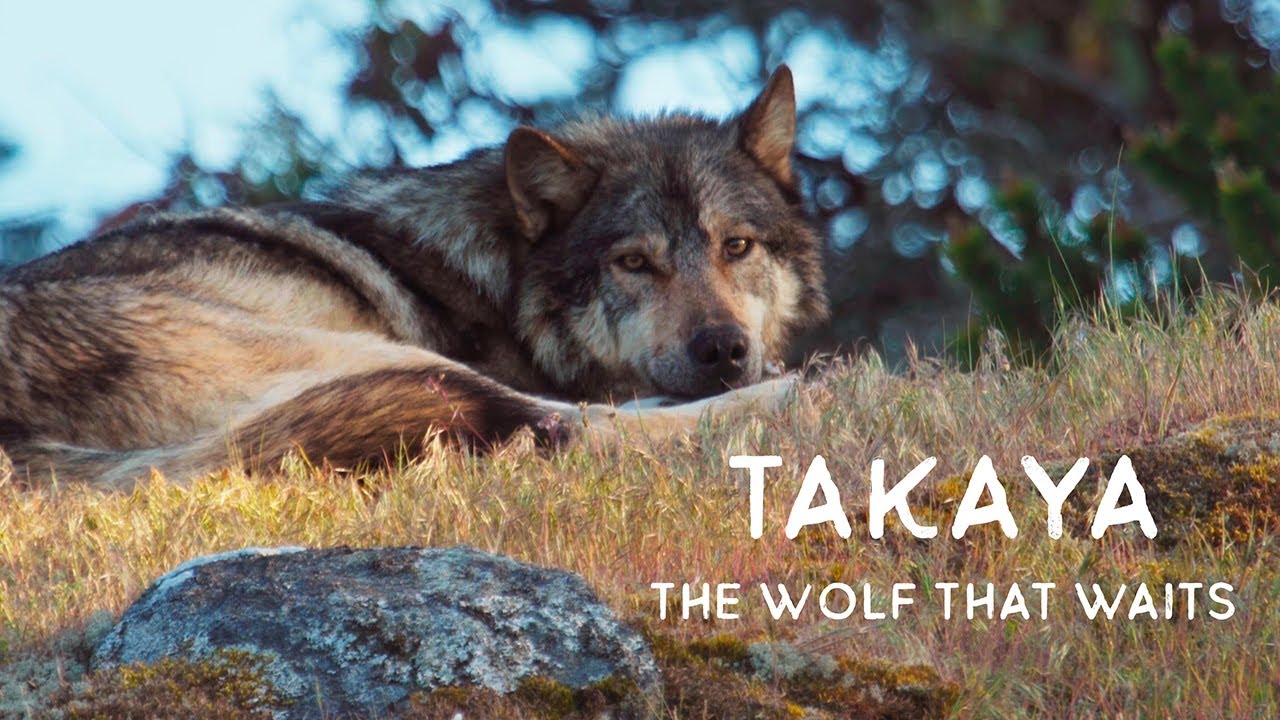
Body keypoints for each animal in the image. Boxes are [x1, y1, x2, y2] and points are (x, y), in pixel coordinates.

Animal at [0, 66, 827, 488]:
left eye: (737, 246)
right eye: (634, 262)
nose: (722, 350)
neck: (504, 278)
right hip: (386, 362)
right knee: (564, 426)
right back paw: (792, 391)